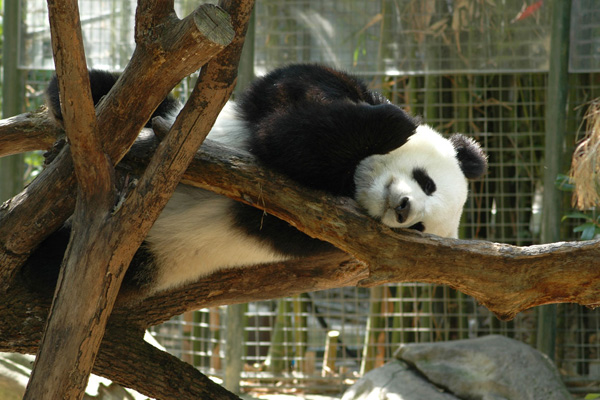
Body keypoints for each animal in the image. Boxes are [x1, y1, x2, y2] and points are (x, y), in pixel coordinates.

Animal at [29, 64, 488, 298]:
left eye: (421, 228)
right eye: (426, 182)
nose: (403, 209)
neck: (353, 183)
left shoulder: (326, 238)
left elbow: (286, 147)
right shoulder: (301, 88)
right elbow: (294, 94)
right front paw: (395, 121)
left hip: (138, 257)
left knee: (55, 268)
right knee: (108, 92)